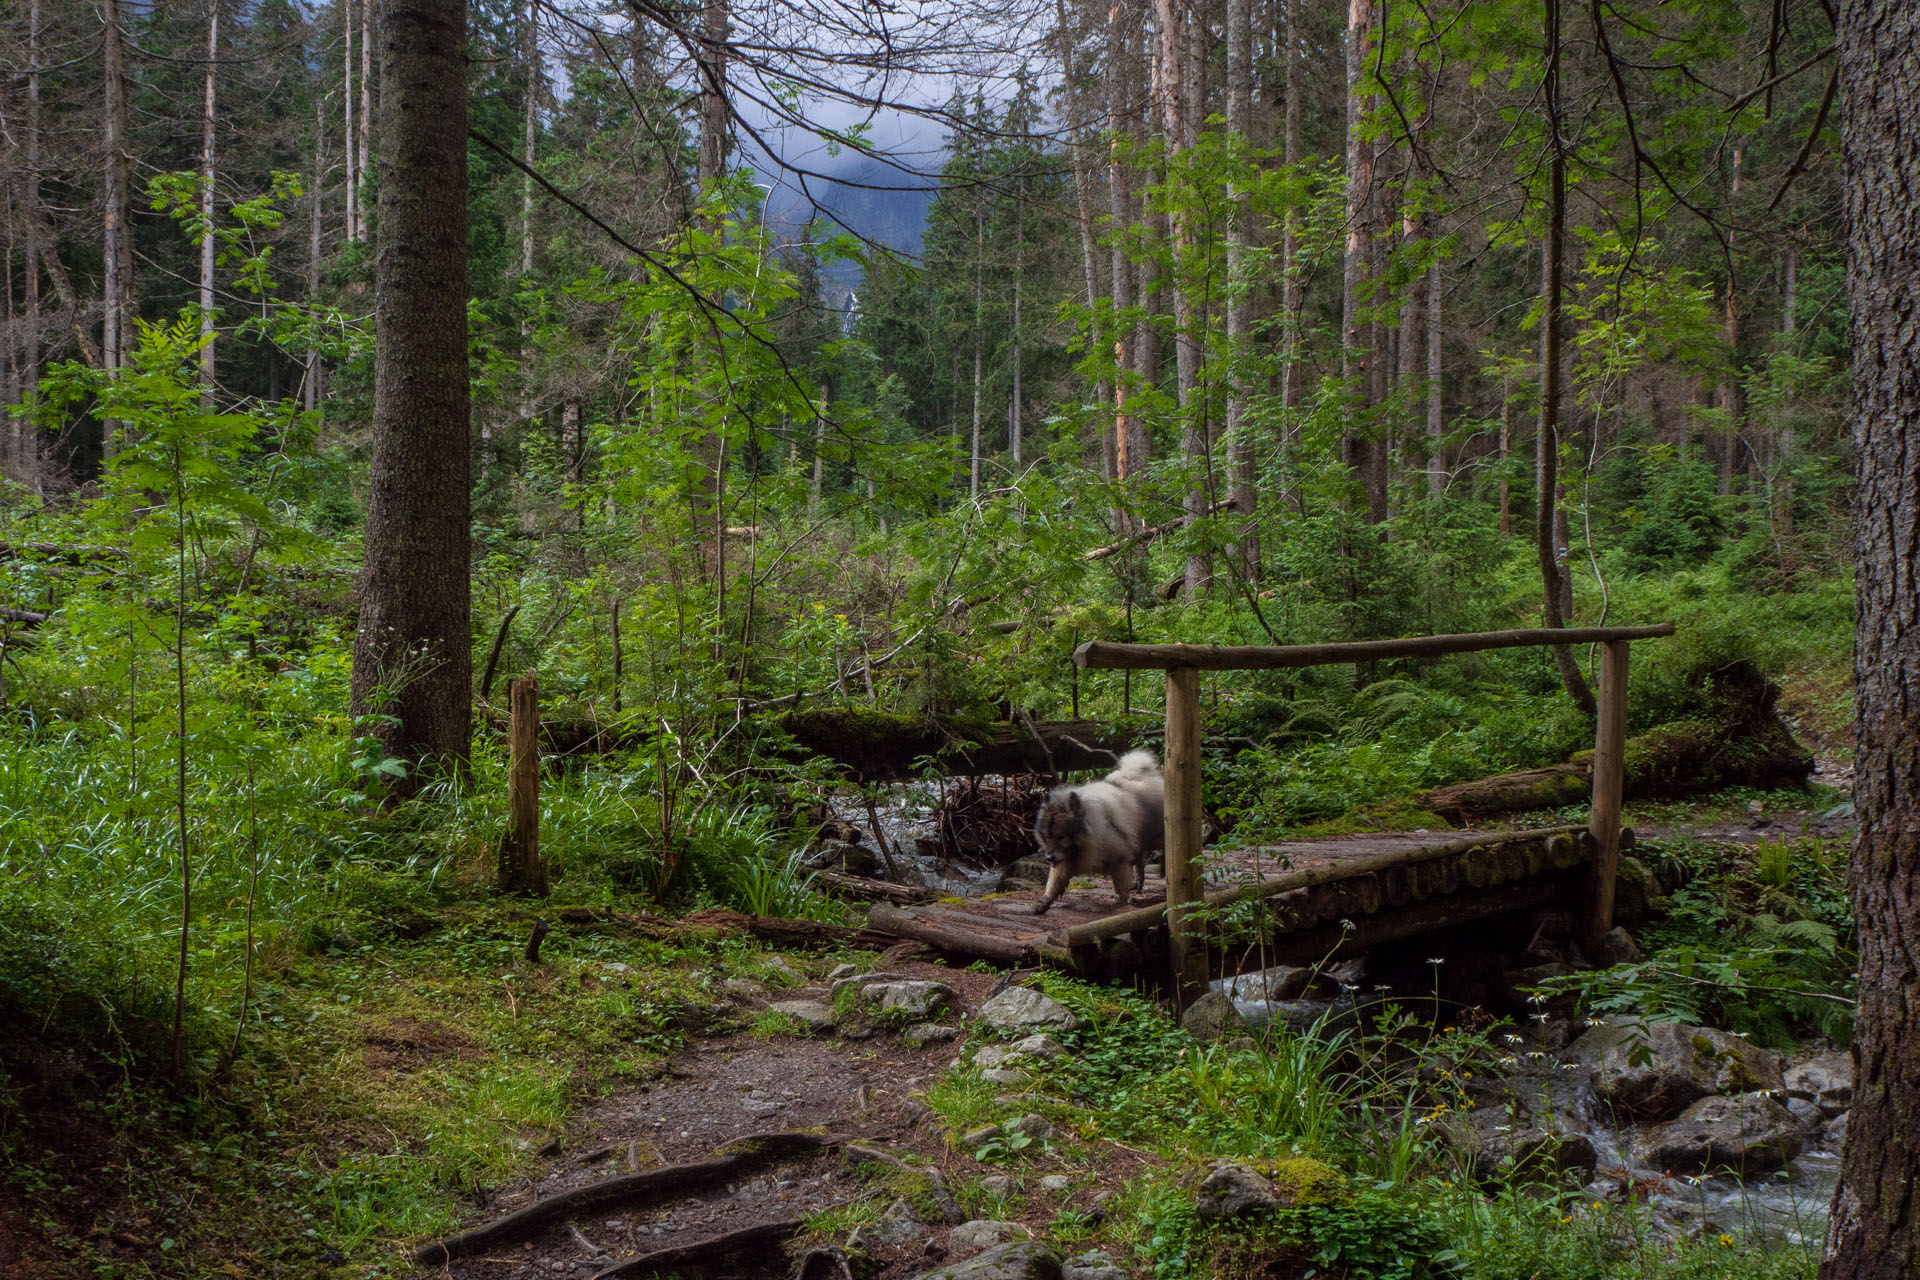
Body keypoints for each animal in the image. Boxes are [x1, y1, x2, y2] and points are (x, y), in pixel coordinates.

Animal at [1029, 744, 1159, 917]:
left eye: (1061, 837)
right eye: (1046, 837)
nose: (1048, 857)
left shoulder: (1119, 858)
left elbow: (1120, 884)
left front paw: (1120, 899)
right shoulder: (1062, 862)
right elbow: (1053, 884)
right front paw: (1043, 903)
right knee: (1139, 861)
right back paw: (1138, 883)